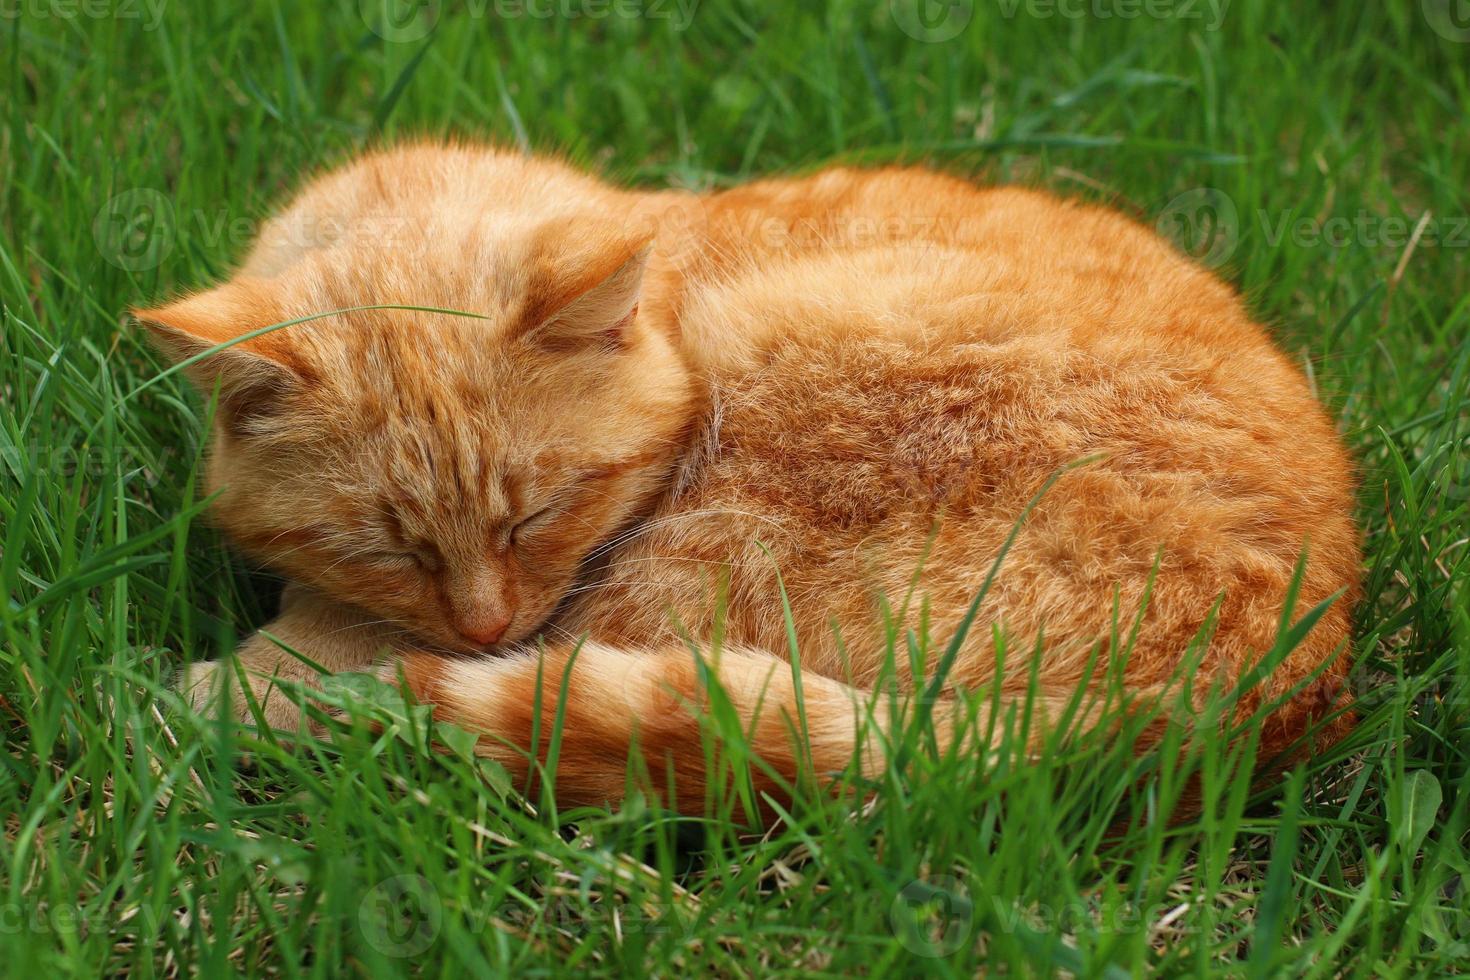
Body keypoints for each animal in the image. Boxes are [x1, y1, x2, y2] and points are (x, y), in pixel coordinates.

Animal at [132, 143, 1358, 822]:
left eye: (540, 514)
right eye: (388, 544)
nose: (484, 624)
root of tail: (1275, 677)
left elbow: (320, 648)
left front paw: (235, 682)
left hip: (741, 482)